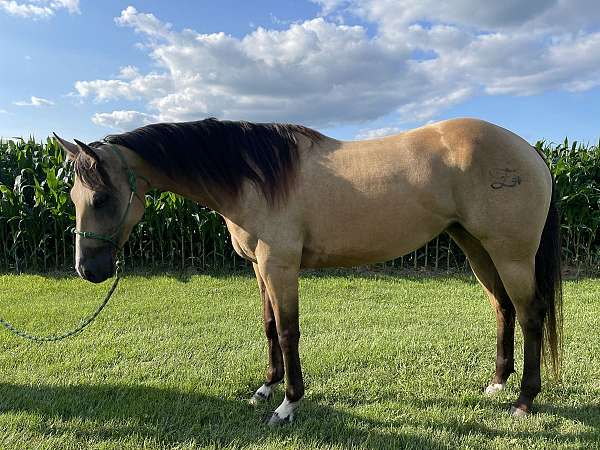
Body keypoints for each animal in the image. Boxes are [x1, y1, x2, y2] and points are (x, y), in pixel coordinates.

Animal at [55, 117, 564, 426]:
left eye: (100, 197)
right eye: (73, 196)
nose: (87, 270)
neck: (256, 176)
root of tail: (530, 150)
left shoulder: (280, 266)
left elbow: (288, 331)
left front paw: (288, 404)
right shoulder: (260, 268)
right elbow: (267, 326)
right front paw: (265, 387)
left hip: (510, 253)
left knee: (530, 314)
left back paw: (523, 400)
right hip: (476, 247)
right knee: (502, 308)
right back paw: (497, 384)